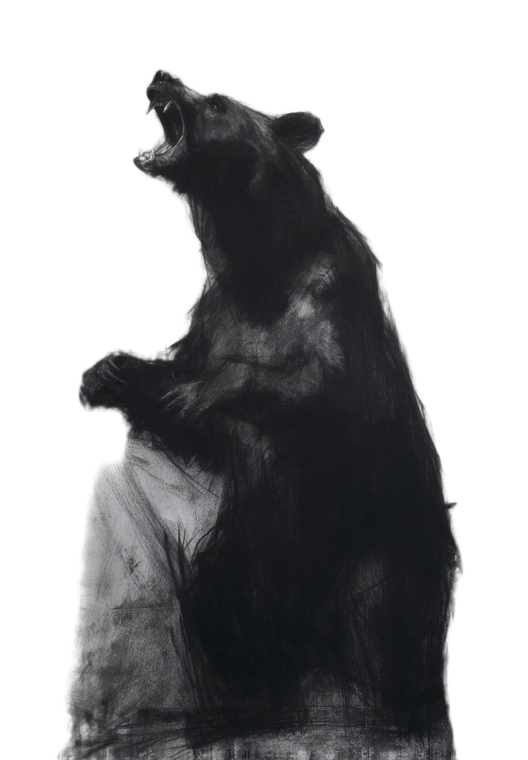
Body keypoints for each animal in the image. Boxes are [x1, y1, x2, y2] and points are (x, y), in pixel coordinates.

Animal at [78, 70, 463, 755]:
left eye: (215, 100)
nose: (160, 75)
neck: (253, 255)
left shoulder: (329, 299)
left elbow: (320, 382)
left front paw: (197, 391)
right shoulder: (214, 313)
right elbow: (182, 388)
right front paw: (109, 371)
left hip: (379, 568)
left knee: (382, 638)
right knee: (227, 615)